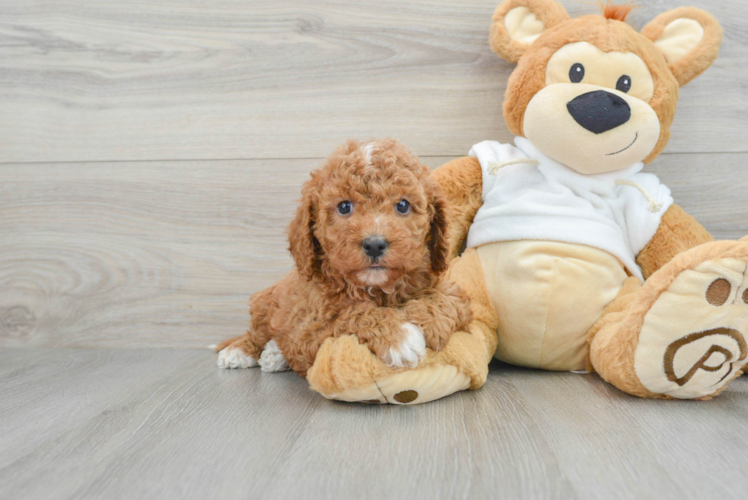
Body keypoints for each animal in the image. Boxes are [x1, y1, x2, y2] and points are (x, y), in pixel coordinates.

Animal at [216, 138, 474, 376]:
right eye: (344, 207)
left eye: (402, 205)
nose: (374, 244)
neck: (377, 288)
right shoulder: (310, 329)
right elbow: (350, 315)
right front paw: (400, 338)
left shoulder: (450, 289)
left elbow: (447, 300)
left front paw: (431, 324)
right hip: (264, 304)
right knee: (258, 333)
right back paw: (240, 352)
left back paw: (273, 355)